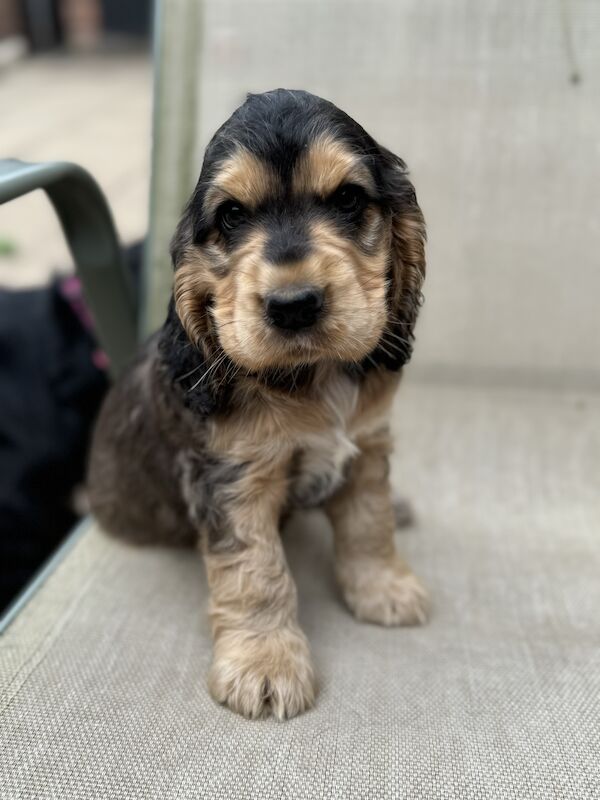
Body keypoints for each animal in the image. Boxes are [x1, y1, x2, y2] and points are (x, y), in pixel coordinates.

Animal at [88, 90, 426, 720]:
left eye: (348, 199)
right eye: (231, 217)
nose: (294, 305)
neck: (311, 380)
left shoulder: (367, 445)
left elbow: (369, 523)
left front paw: (384, 587)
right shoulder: (233, 480)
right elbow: (257, 572)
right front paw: (264, 666)